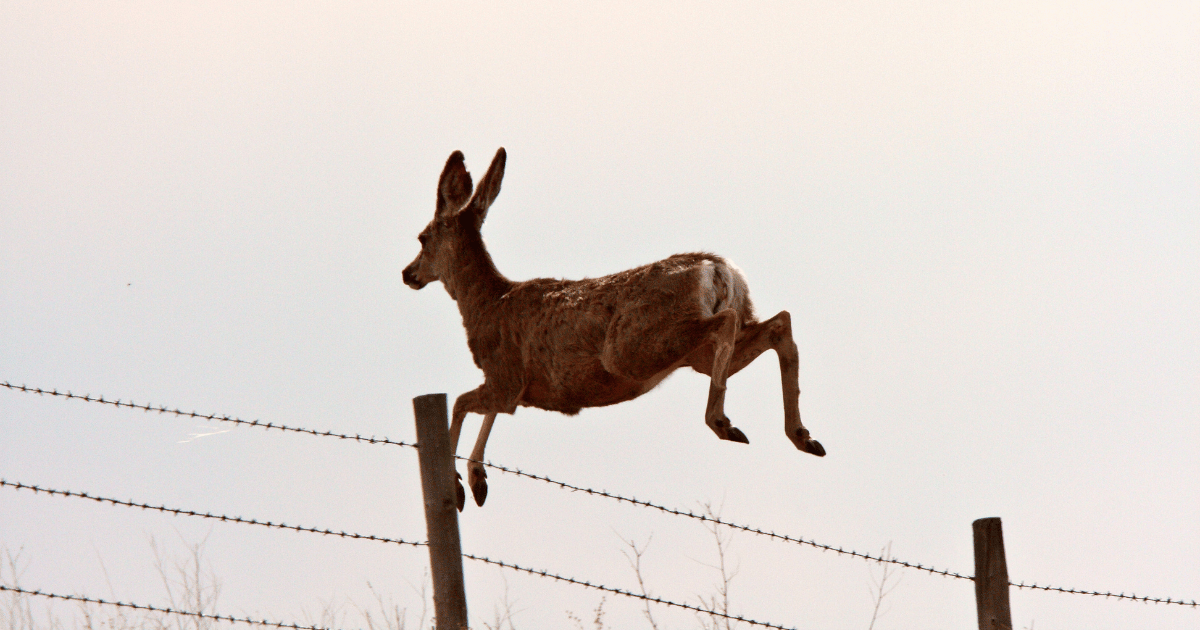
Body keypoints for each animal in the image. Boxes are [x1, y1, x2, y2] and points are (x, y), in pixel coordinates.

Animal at [403, 148, 825, 511]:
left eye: (423, 238)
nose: (408, 272)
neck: (487, 304)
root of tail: (717, 268)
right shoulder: (511, 386)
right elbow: (485, 413)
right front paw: (477, 481)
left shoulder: (505, 375)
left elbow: (460, 404)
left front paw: (459, 486)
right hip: (693, 350)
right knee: (778, 323)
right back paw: (803, 436)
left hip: (634, 349)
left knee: (730, 323)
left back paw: (722, 421)